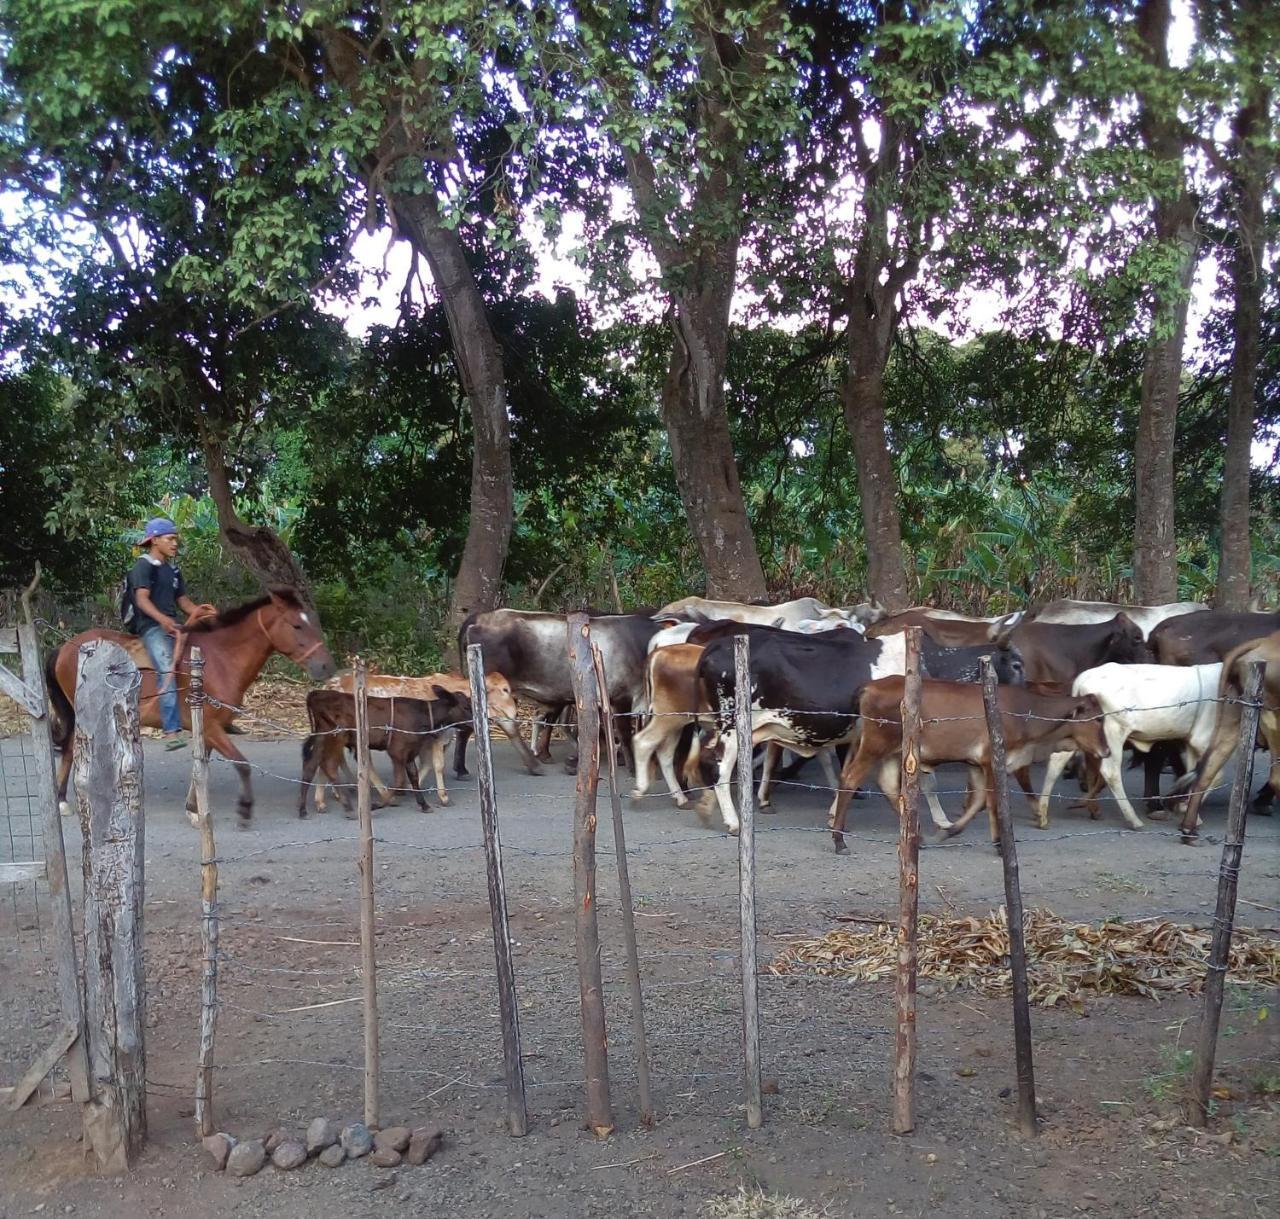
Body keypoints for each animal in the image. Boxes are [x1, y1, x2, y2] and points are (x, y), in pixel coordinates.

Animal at [46, 589, 335, 824]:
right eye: (297, 625)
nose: (325, 666)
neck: (218, 661)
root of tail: (66, 646)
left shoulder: (209, 730)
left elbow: (202, 768)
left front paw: (193, 808)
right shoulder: (211, 727)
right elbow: (242, 764)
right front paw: (244, 809)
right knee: (71, 749)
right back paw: (62, 800)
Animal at [696, 624, 1024, 834]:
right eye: (1017, 665)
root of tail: (713, 646)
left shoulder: (858, 738)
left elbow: (846, 775)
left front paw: (833, 816)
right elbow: (926, 782)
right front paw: (943, 822)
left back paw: (708, 807)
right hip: (733, 725)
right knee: (720, 769)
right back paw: (733, 821)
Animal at [829, 676, 1111, 855]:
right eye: (1097, 719)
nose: (1107, 751)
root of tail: (869, 686)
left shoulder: (976, 764)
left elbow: (979, 803)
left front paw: (948, 831)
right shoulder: (991, 761)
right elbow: (992, 803)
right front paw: (999, 844)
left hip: (892, 752)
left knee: (885, 784)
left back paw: (917, 836)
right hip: (875, 746)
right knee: (850, 779)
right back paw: (839, 841)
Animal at [1034, 660, 1223, 834]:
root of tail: (1084, 678)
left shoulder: (1193, 744)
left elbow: (1195, 774)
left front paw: (1186, 809)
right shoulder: (1205, 741)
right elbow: (1212, 776)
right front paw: (1188, 813)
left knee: (1057, 762)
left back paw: (1043, 814)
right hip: (1113, 732)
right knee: (1110, 773)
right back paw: (1133, 819)